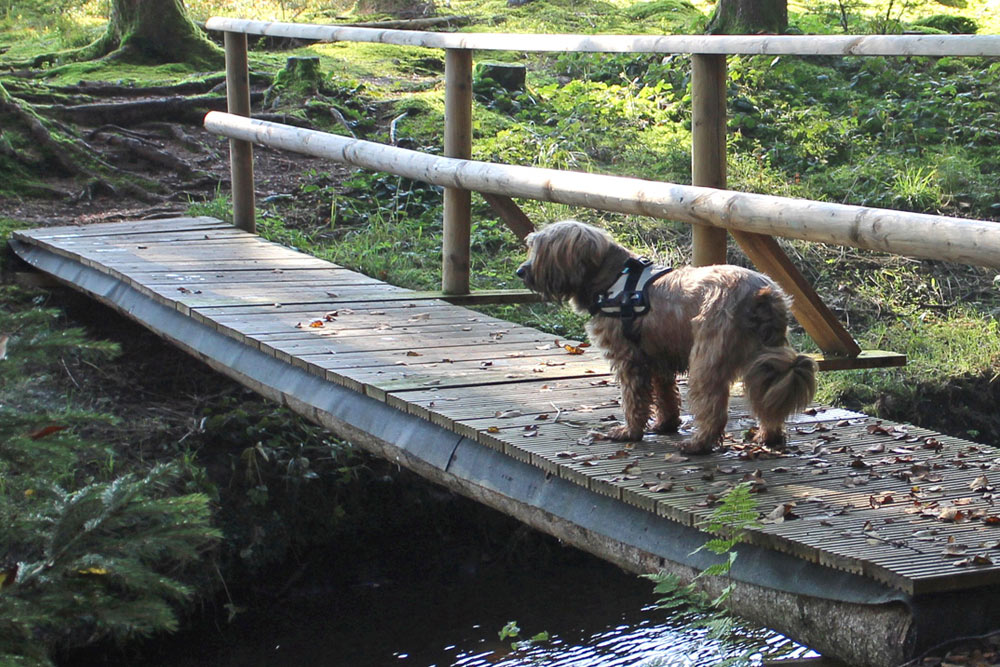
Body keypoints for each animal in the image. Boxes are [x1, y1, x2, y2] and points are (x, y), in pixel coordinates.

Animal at [520, 220, 816, 454]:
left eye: (541, 249)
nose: (520, 271)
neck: (615, 279)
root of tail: (762, 293)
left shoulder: (629, 360)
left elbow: (634, 400)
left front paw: (630, 431)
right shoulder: (658, 358)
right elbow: (665, 396)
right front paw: (666, 424)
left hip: (708, 358)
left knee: (713, 407)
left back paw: (698, 444)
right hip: (766, 359)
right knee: (768, 397)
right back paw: (769, 436)